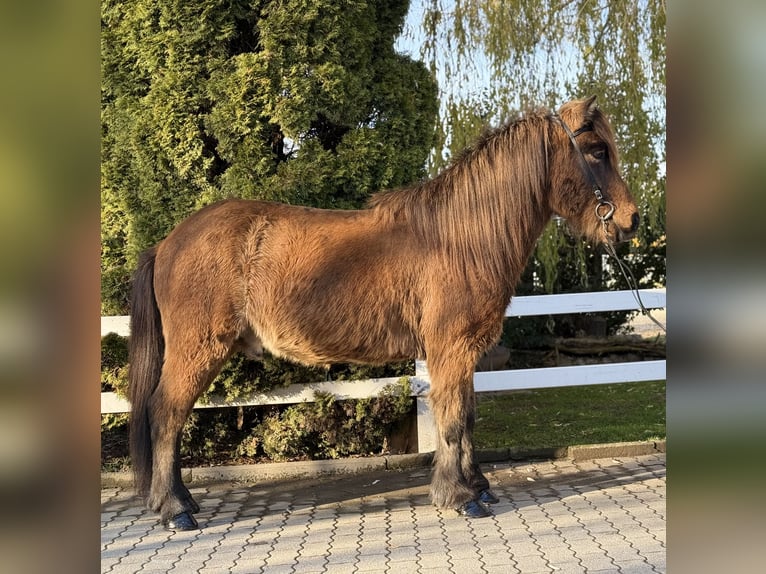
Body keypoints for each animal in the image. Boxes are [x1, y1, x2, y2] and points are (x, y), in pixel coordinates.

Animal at [128, 96, 640, 530]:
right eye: (596, 151)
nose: (631, 220)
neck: (459, 237)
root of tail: (168, 242)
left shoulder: (464, 353)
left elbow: (468, 417)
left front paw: (478, 487)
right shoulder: (451, 349)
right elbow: (453, 419)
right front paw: (459, 497)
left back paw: (181, 501)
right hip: (198, 350)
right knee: (167, 414)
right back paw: (174, 509)